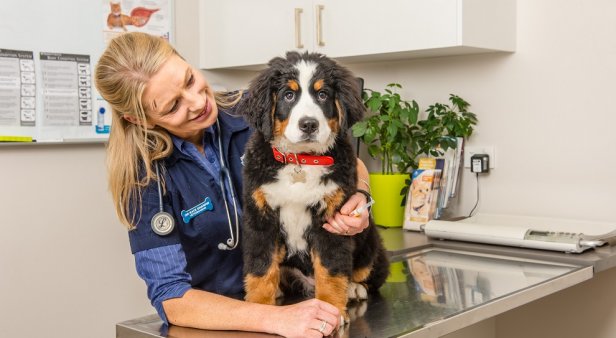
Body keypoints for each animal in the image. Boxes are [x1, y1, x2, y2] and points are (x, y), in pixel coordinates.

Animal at [238, 50, 388, 322]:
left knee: (367, 274)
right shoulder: (260, 217)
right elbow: (260, 268)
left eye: (322, 95)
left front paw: (331, 309)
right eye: (288, 95)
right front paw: (258, 307)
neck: (301, 160)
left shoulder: (332, 220)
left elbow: (331, 270)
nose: (309, 124)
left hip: (369, 241)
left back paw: (354, 289)